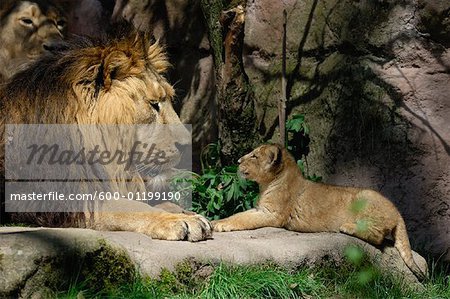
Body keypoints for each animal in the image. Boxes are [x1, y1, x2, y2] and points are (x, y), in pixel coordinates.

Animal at [0, 34, 212, 243]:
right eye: (153, 104)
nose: (186, 145)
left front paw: (188, 213)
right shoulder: (69, 200)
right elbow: (132, 207)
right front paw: (180, 220)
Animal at [213, 145, 428, 282]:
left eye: (254, 156)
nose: (238, 160)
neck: (267, 183)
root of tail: (398, 211)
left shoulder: (271, 214)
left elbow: (242, 217)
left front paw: (220, 224)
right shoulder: (262, 209)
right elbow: (241, 214)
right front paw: (217, 221)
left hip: (365, 199)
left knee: (377, 236)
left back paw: (347, 227)